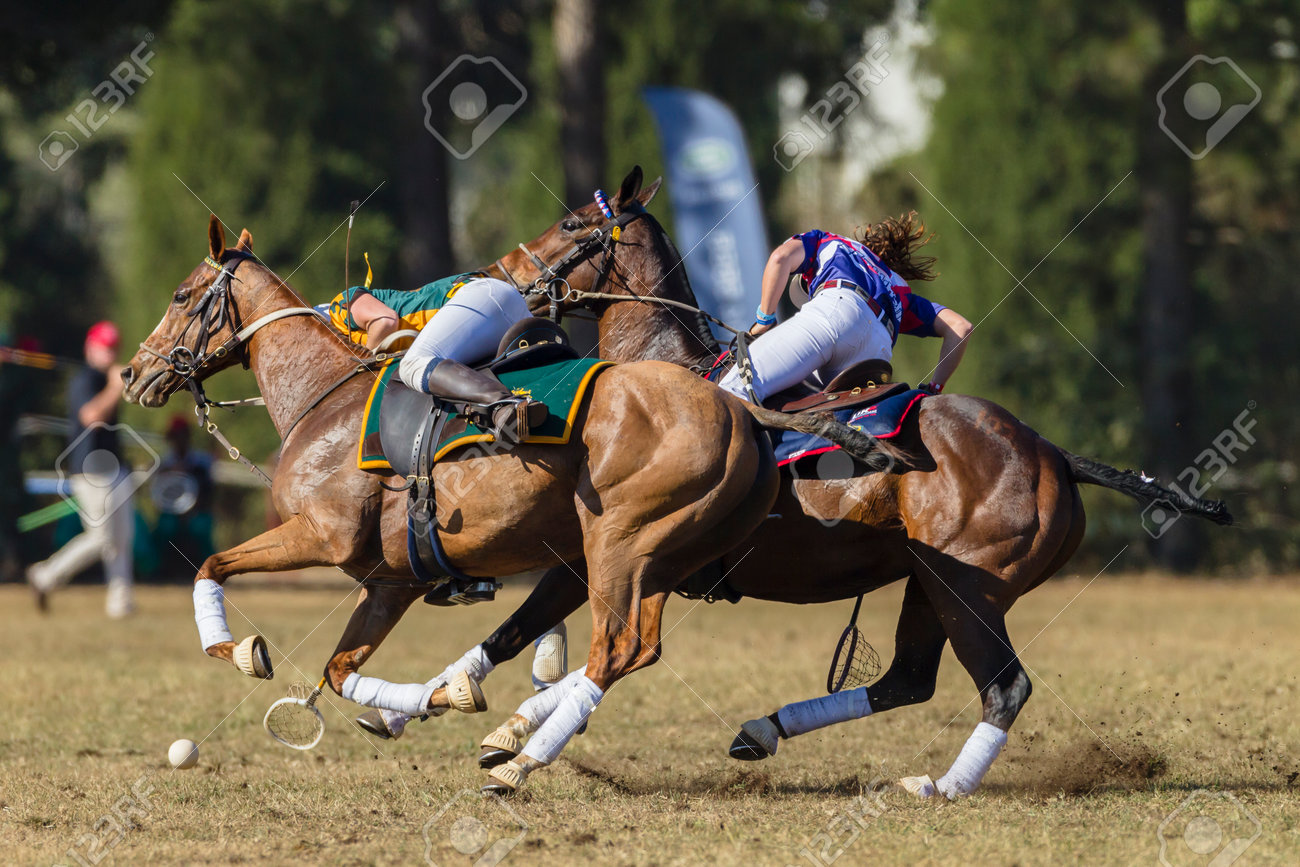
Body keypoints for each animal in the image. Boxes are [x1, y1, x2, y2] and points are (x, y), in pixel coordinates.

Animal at [121, 211, 889, 731]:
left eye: (183, 296)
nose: (133, 373)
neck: (320, 395)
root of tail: (740, 409)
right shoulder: (391, 581)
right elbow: (340, 673)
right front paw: (432, 698)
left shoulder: (322, 534)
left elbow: (211, 564)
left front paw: (238, 648)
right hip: (648, 554)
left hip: (621, 541)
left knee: (621, 646)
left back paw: (519, 757)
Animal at [366, 167, 1230, 798]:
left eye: (578, 222)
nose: (501, 273)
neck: (660, 370)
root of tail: (1051, 452)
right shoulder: (610, 554)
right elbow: (533, 635)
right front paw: (460, 713)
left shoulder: (623, 552)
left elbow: (565, 638)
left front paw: (500, 729)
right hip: (930, 580)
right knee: (907, 679)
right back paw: (767, 729)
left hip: (972, 586)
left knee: (1003, 687)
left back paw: (940, 786)